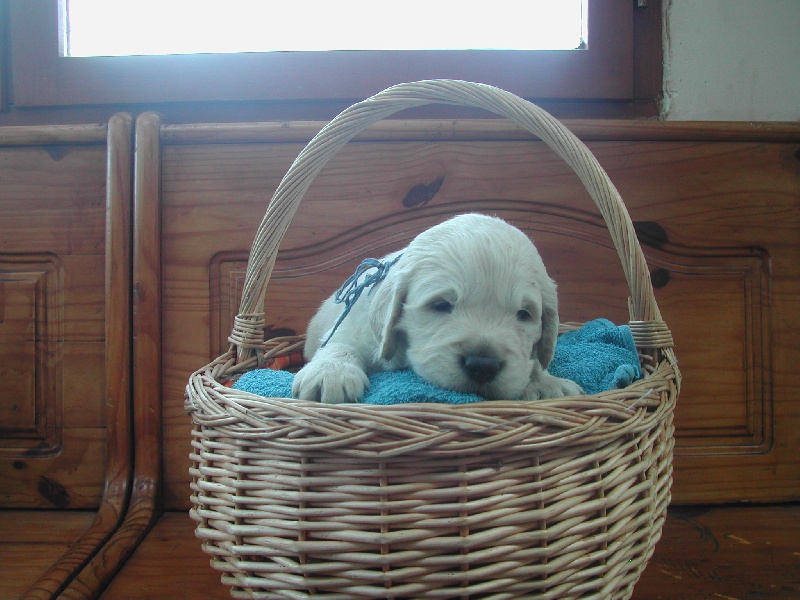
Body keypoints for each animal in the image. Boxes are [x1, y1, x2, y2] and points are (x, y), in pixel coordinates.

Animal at [292, 214, 583, 404]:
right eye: (440, 304)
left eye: (524, 314)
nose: (482, 365)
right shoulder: (356, 331)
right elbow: (340, 344)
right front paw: (330, 372)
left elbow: (533, 362)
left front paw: (547, 382)